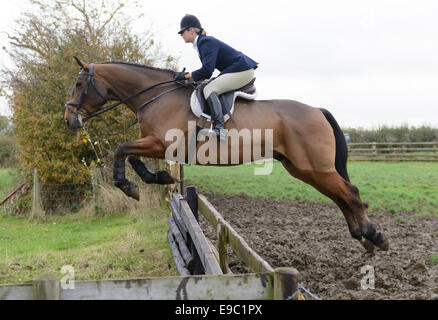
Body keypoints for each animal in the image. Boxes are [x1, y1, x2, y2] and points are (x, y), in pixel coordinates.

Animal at [63, 57, 388, 252]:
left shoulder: (159, 143)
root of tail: (317, 110)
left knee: (350, 193)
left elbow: (122, 151)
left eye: (79, 85)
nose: (69, 120)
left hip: (314, 167)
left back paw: (374, 235)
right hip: (301, 168)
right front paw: (160, 177)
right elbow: (131, 155)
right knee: (341, 195)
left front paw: (129, 186)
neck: (154, 96)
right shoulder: (153, 143)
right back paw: (362, 237)